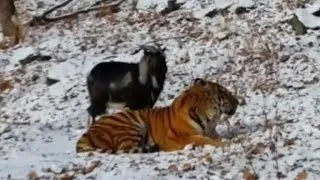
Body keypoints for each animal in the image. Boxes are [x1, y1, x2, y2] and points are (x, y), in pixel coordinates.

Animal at [76, 78, 239, 154]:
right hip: (130, 125)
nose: (238, 101)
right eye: (226, 93)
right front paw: (225, 144)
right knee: (126, 149)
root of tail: (83, 136)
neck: (209, 119)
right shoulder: (177, 136)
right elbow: (202, 139)